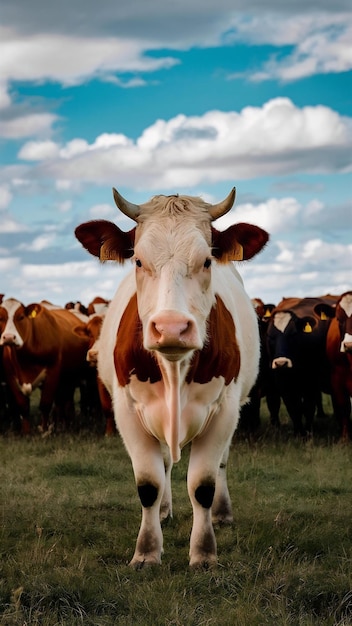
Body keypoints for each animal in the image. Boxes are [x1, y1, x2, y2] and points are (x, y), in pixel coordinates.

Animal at [0, 300, 90, 432]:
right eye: (0, 318)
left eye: (21, 317)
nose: (9, 337)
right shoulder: (10, 376)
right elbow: (22, 405)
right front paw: (26, 432)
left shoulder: (53, 372)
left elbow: (45, 404)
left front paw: (44, 430)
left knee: (66, 401)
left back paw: (67, 423)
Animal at [74, 186, 268, 564]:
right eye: (138, 260)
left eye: (207, 260)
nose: (171, 328)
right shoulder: (127, 411)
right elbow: (148, 484)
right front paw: (147, 552)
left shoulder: (224, 409)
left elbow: (203, 484)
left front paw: (204, 553)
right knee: (163, 464)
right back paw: (164, 510)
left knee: (221, 465)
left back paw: (222, 513)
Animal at [266, 294, 336, 434]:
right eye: (271, 336)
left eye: (293, 334)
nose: (281, 363)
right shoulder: (283, 383)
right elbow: (293, 408)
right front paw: (298, 432)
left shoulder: (312, 382)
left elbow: (308, 407)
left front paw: (308, 431)